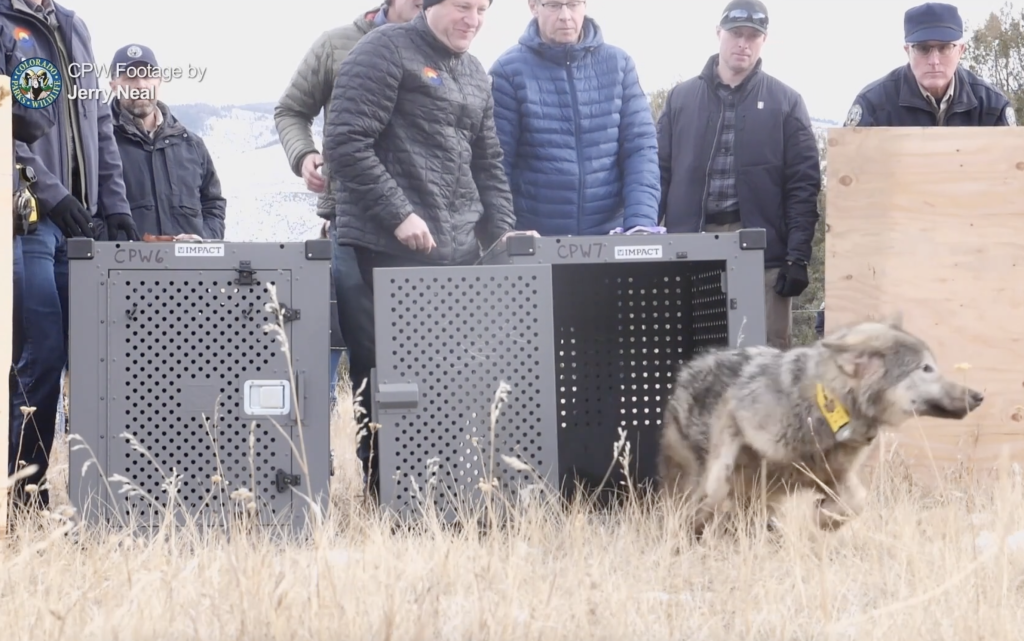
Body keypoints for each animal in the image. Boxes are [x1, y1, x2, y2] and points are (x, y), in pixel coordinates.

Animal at [655, 311, 983, 532]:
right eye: (926, 368)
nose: (978, 395)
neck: (827, 409)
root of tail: (690, 367)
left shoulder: (834, 477)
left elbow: (856, 502)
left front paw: (824, 517)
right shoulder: (733, 415)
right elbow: (716, 484)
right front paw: (700, 515)